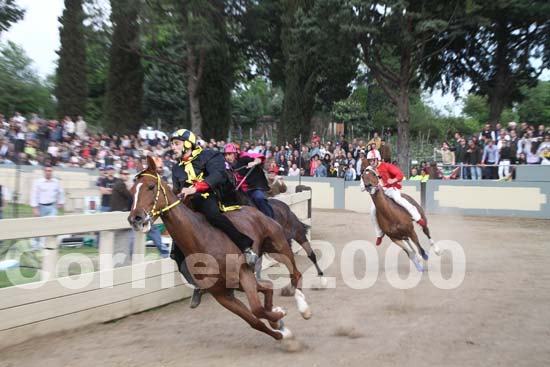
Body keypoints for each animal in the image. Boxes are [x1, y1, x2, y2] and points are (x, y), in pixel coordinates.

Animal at [126, 157, 312, 340]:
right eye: (132, 191)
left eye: (151, 187)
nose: (135, 218)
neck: (201, 239)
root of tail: (255, 210)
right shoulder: (222, 294)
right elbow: (255, 320)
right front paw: (281, 329)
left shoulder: (243, 274)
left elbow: (257, 309)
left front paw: (281, 315)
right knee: (267, 286)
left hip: (278, 246)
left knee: (295, 274)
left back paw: (304, 308)